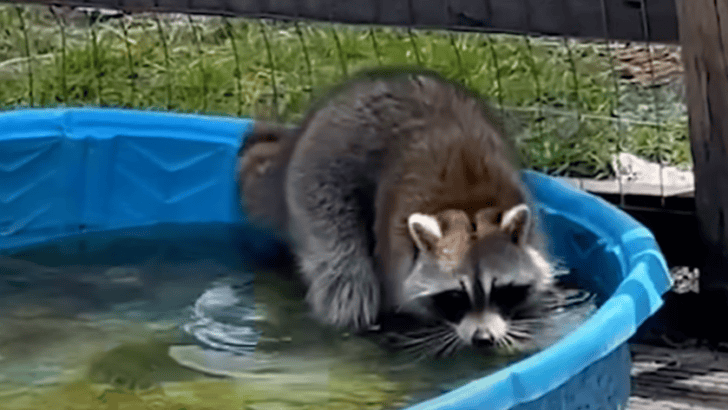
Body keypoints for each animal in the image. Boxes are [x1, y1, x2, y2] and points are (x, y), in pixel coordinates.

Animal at [239, 68, 570, 355]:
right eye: (455, 296)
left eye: (500, 290)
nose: (482, 339)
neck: (467, 206)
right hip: (320, 180)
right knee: (346, 278)